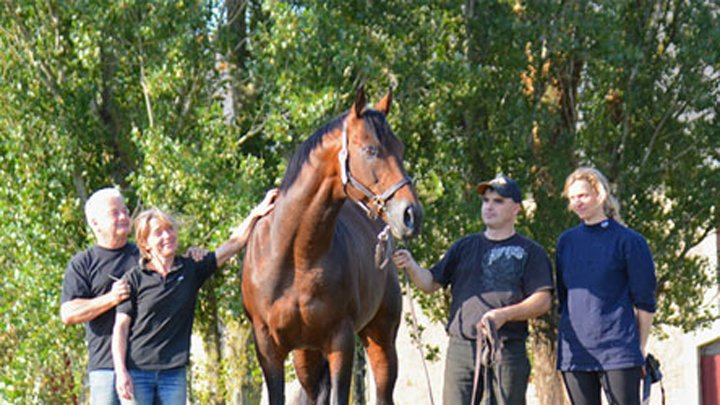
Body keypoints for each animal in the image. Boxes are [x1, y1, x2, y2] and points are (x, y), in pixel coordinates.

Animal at [242, 85, 423, 405]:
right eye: (371, 150)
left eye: (400, 148)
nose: (411, 215)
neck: (294, 257)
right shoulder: (268, 347)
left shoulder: (341, 341)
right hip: (306, 355)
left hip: (381, 340)